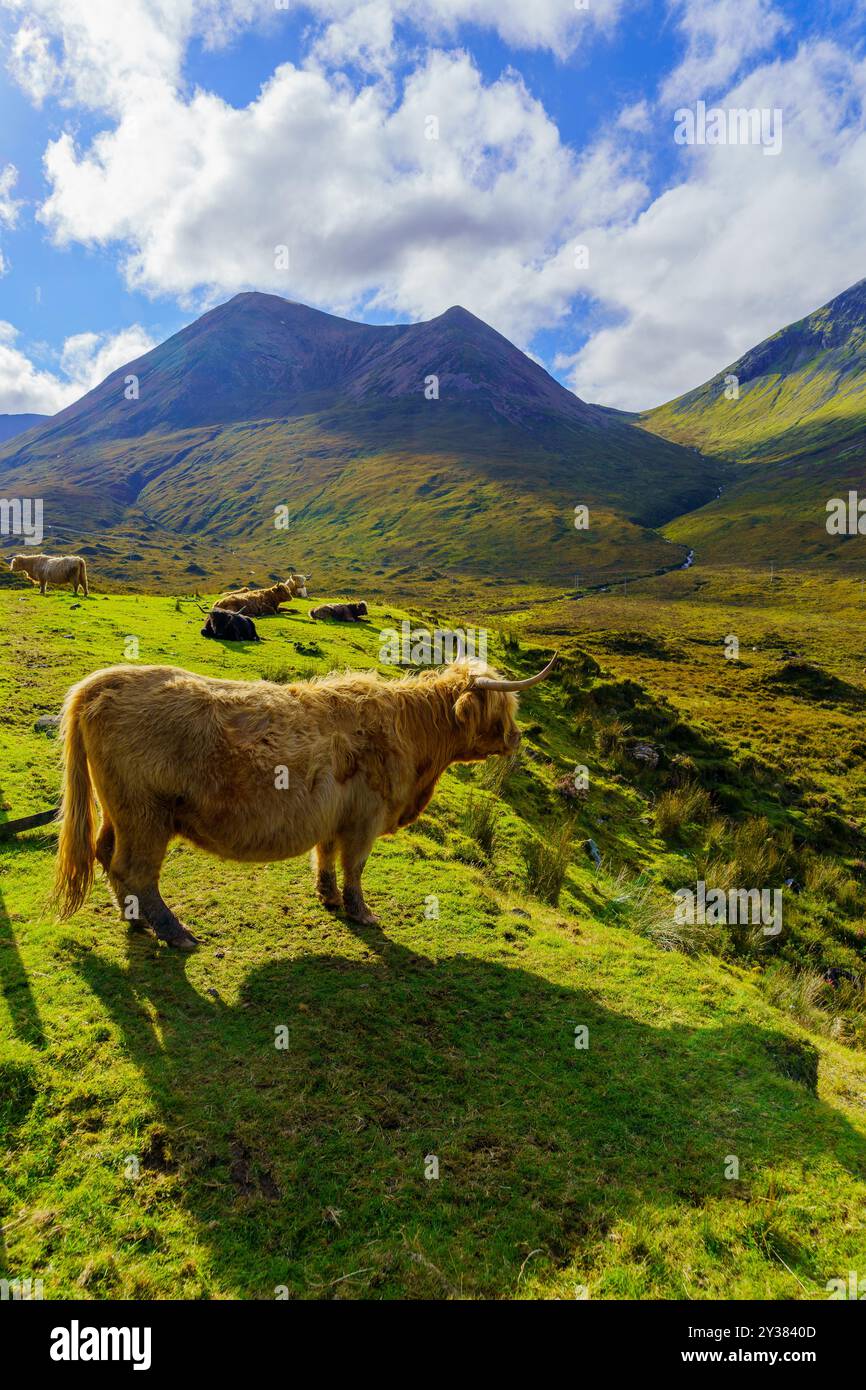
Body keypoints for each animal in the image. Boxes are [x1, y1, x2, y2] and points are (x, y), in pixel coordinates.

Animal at [53, 652, 556, 949]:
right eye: (503, 711)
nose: (516, 739)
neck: (412, 738)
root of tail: (100, 682)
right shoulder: (365, 818)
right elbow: (355, 867)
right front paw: (362, 913)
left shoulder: (334, 818)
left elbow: (326, 858)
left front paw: (328, 897)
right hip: (146, 816)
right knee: (134, 869)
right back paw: (174, 932)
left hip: (118, 812)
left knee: (105, 853)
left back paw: (136, 919)